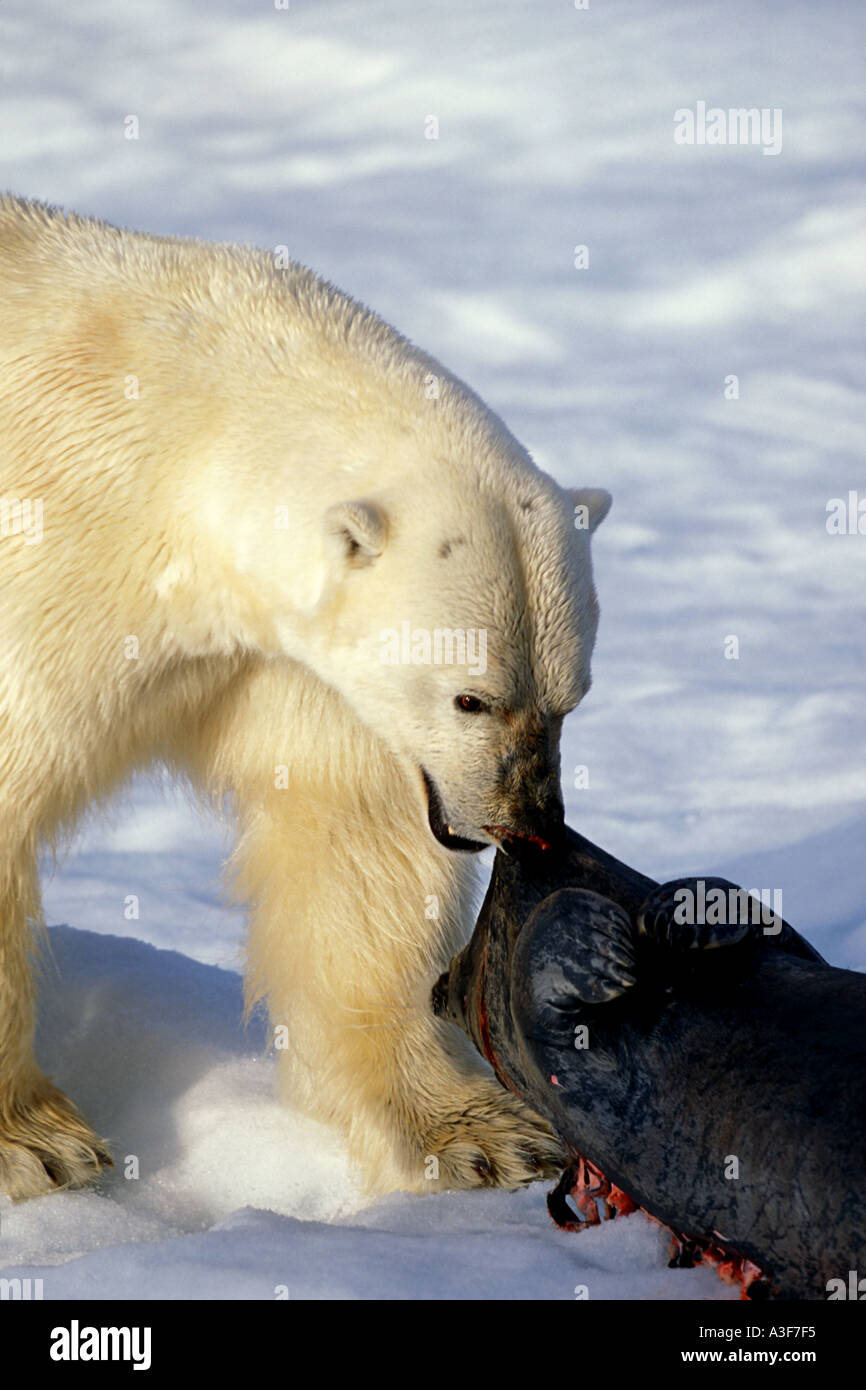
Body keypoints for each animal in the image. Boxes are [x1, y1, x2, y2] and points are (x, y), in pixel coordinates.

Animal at [0, 193, 608, 1195]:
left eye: (573, 697)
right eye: (471, 698)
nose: (525, 819)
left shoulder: (283, 658)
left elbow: (351, 835)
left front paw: (477, 1133)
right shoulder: (54, 569)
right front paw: (39, 1145)